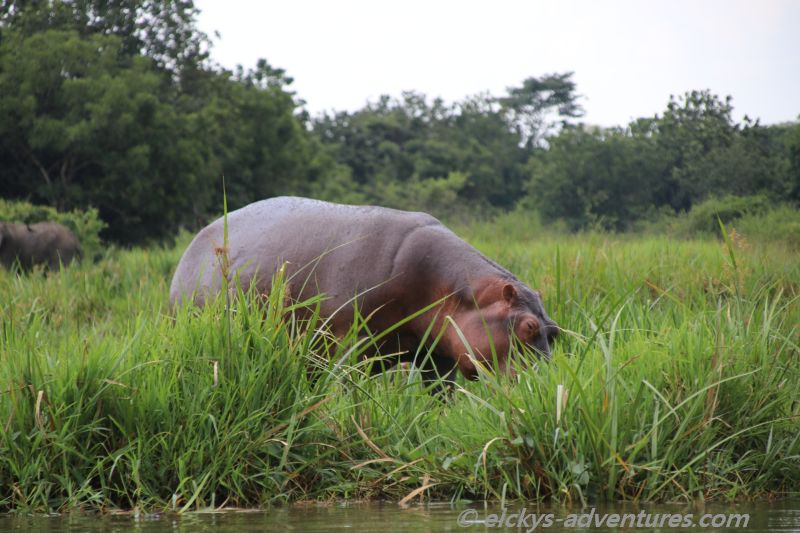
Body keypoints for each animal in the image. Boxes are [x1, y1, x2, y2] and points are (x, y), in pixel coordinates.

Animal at [170, 197, 558, 383]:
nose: (548, 386)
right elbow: (345, 388)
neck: (456, 291)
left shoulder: (440, 355)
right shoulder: (348, 343)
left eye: (554, 331)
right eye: (528, 327)